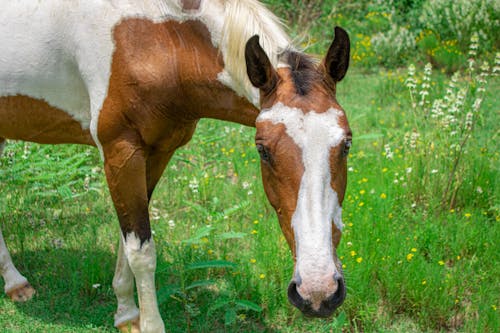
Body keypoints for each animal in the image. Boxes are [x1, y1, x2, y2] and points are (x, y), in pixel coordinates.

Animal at [0, 1, 352, 330]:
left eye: (347, 144)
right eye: (262, 150)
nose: (318, 292)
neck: (157, 39)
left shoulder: (157, 152)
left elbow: (126, 238)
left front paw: (126, 313)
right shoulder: (120, 151)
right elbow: (140, 250)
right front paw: (148, 323)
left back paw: (15, 283)